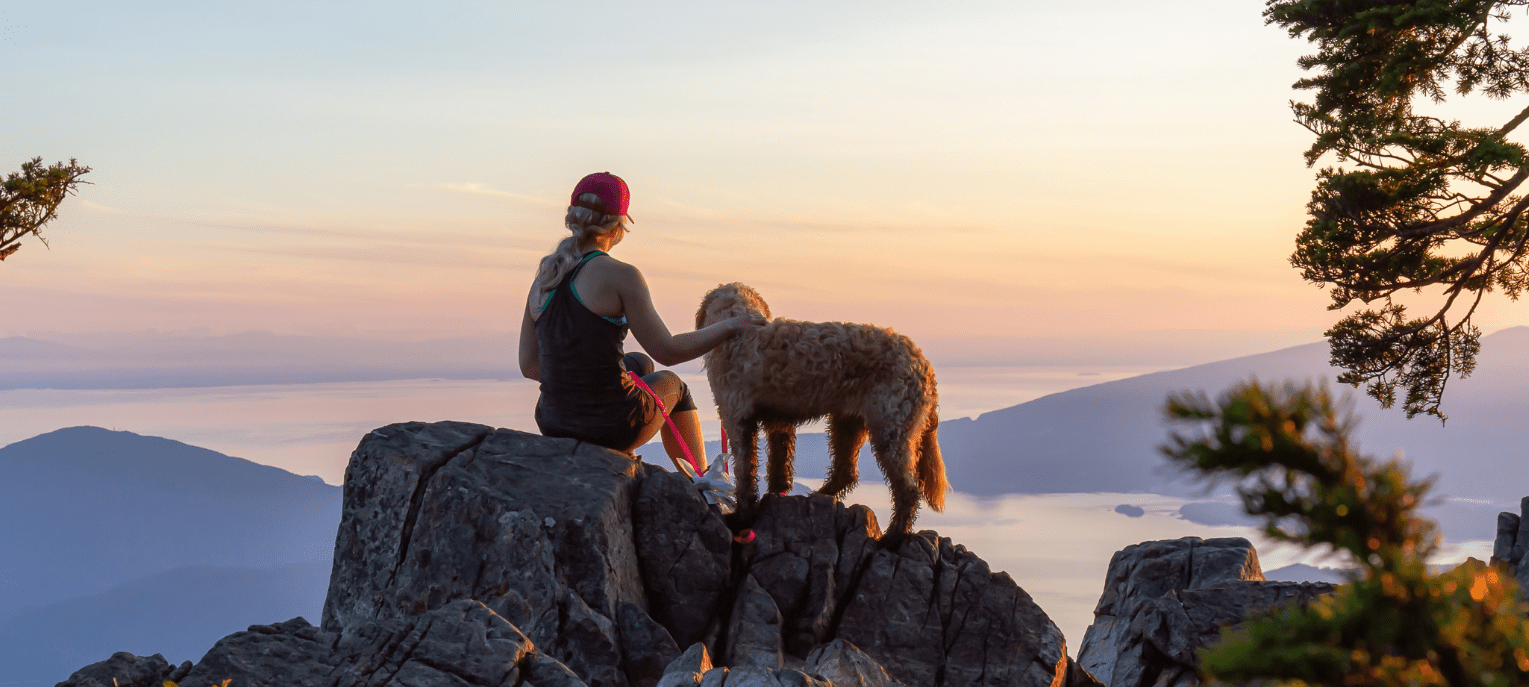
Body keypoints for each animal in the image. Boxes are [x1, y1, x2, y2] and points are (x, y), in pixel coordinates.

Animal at [697, 281, 941, 538]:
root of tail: (923, 363)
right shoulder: (779, 421)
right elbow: (778, 465)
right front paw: (775, 494)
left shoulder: (737, 419)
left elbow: (745, 472)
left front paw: (741, 517)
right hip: (847, 420)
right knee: (846, 470)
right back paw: (819, 495)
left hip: (890, 429)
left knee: (908, 489)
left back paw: (894, 535)